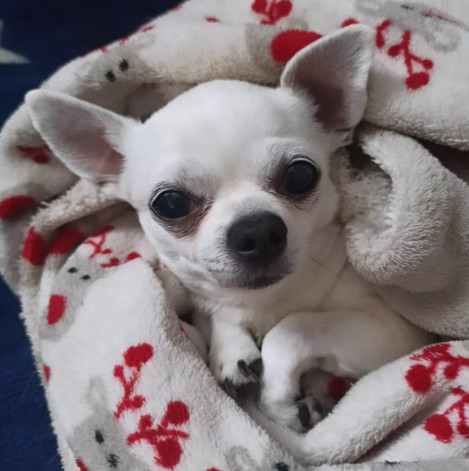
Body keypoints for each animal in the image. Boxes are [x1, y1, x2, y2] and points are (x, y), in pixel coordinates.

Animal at [26, 25, 434, 433]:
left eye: (300, 175)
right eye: (170, 204)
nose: (256, 230)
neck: (264, 301)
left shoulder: (393, 327)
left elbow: (294, 328)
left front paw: (279, 400)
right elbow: (214, 312)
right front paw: (229, 350)